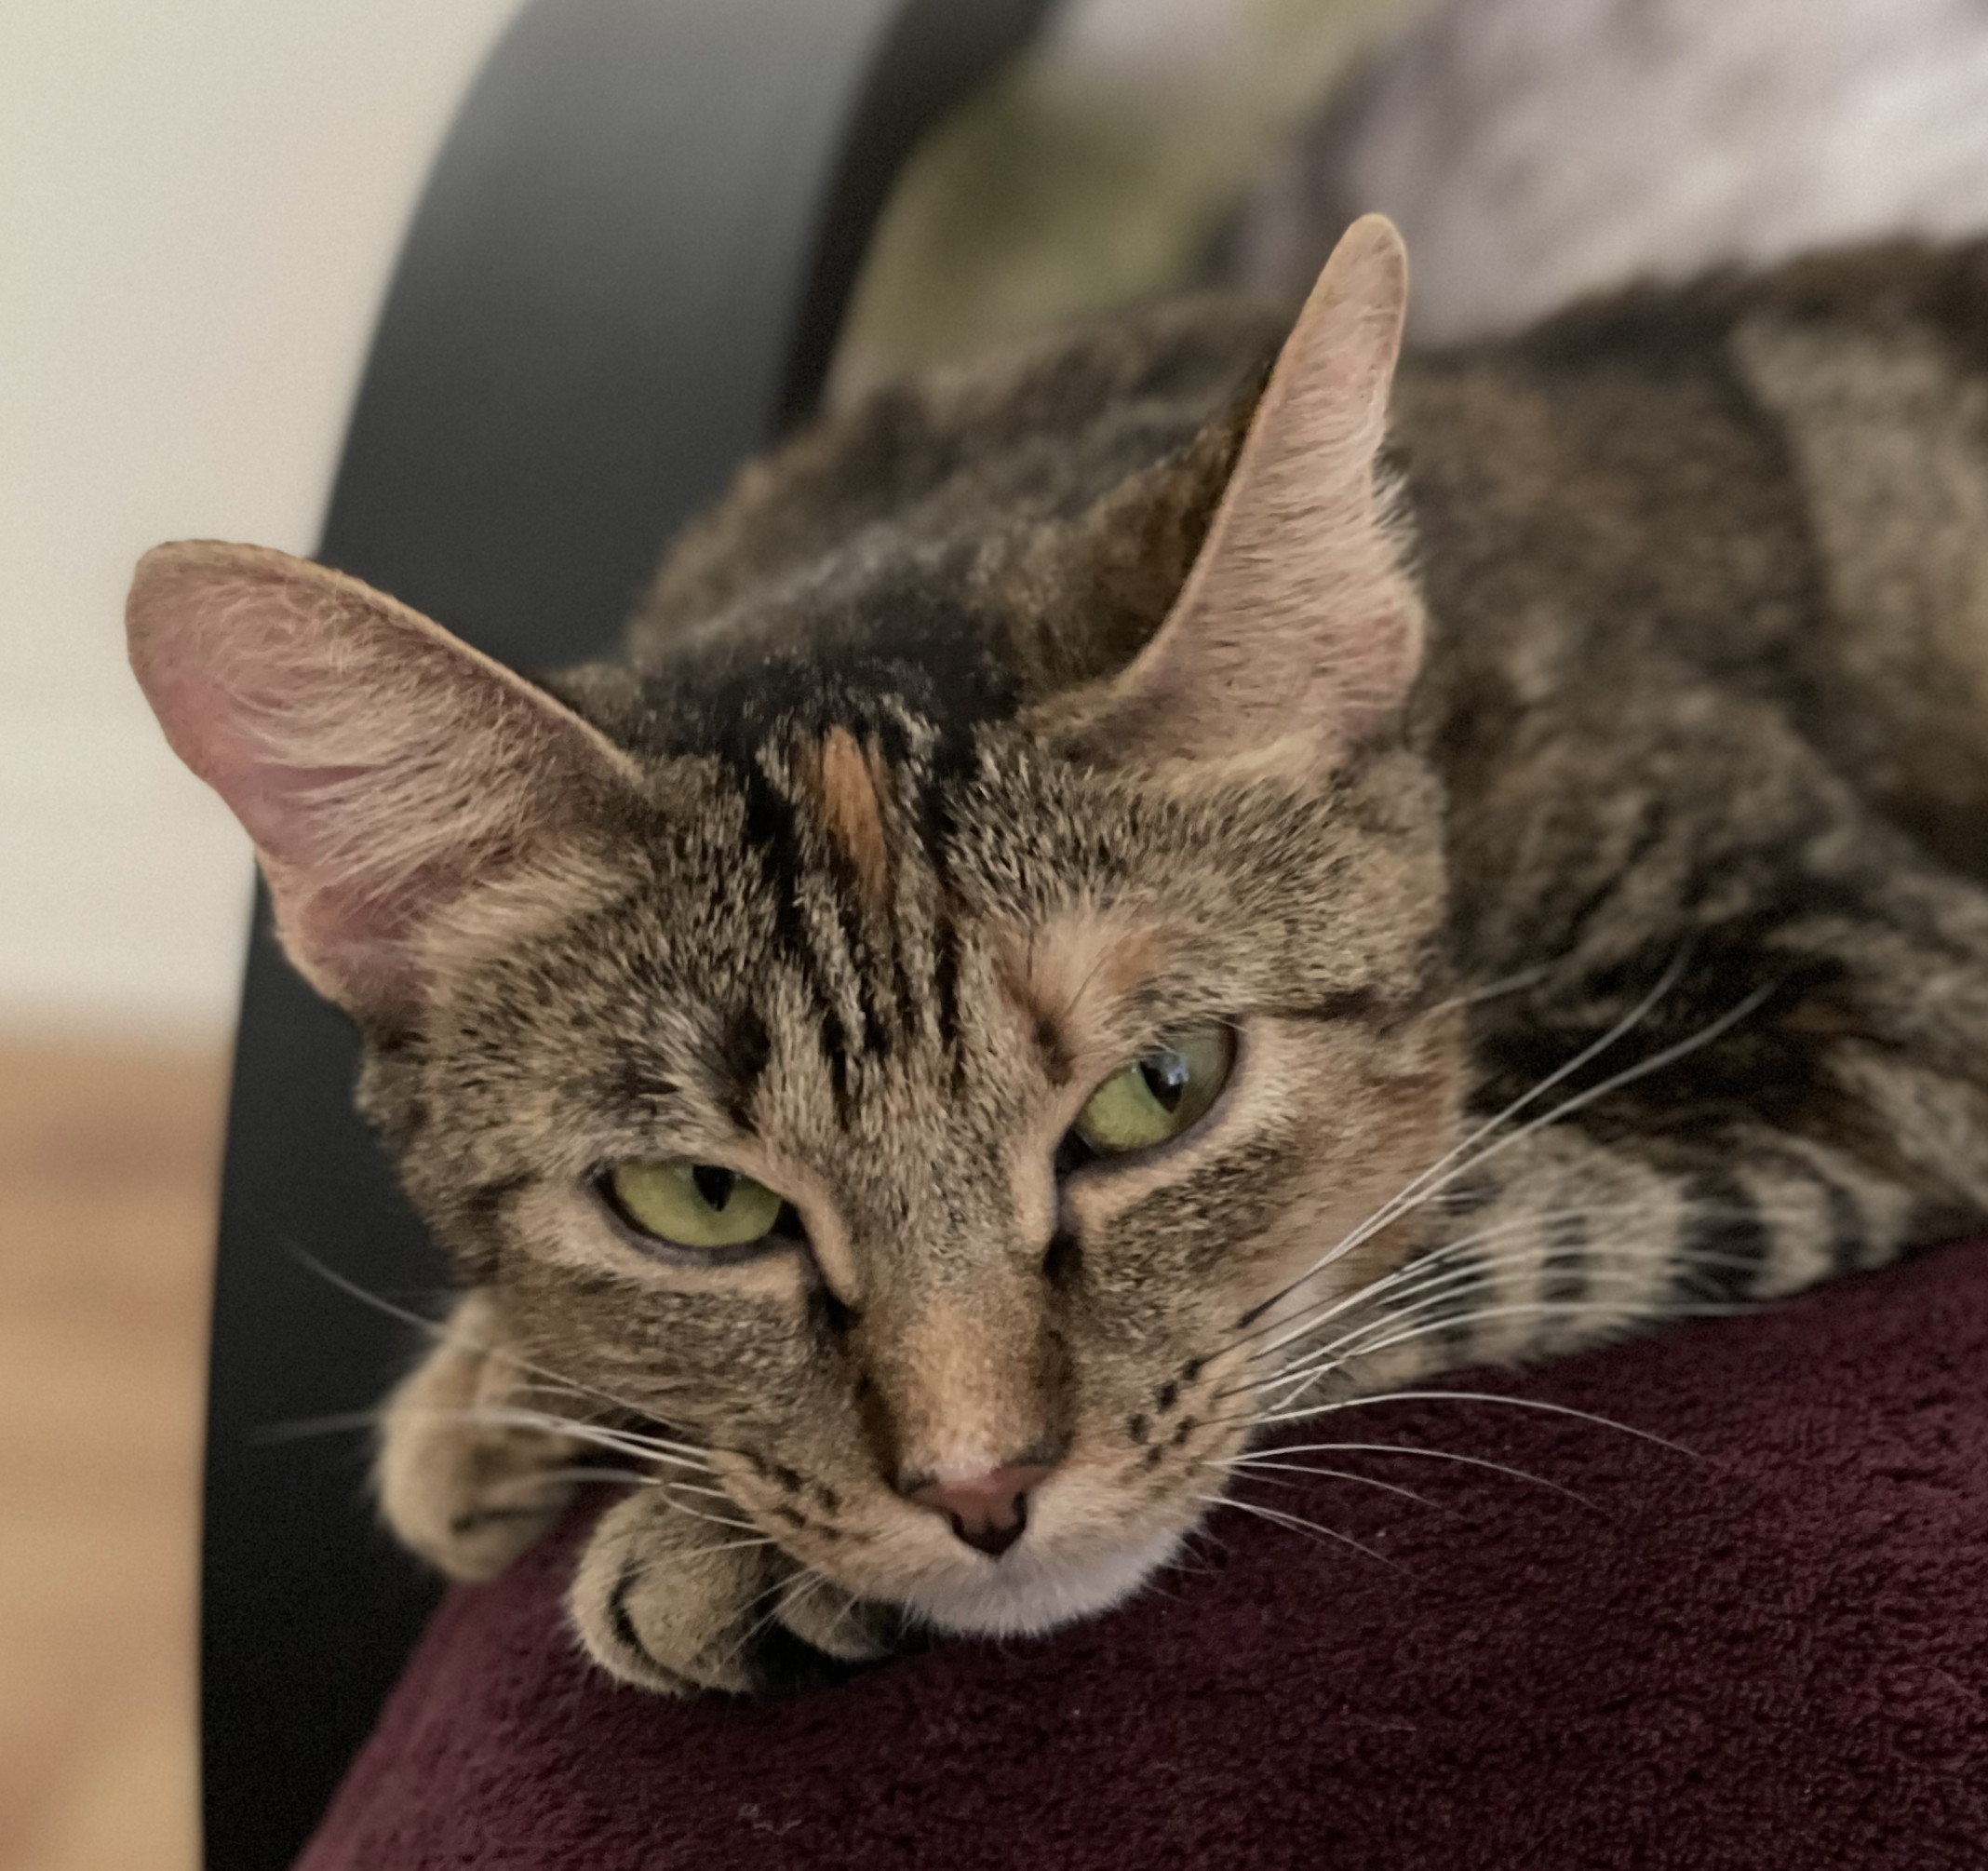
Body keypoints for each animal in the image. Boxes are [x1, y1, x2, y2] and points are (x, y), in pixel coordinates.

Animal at [128, 218, 1988, 1693]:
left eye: (1160, 1092)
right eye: (699, 1201)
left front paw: (721, 1545)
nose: (979, 1493)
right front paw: (498, 1388)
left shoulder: (1880, 998)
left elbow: (1440, 1218)